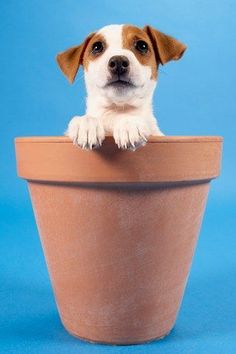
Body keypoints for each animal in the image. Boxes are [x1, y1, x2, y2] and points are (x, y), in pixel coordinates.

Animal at [57, 24, 186, 149]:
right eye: (97, 47)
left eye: (142, 45)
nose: (118, 62)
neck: (116, 111)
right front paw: (86, 123)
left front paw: (129, 124)